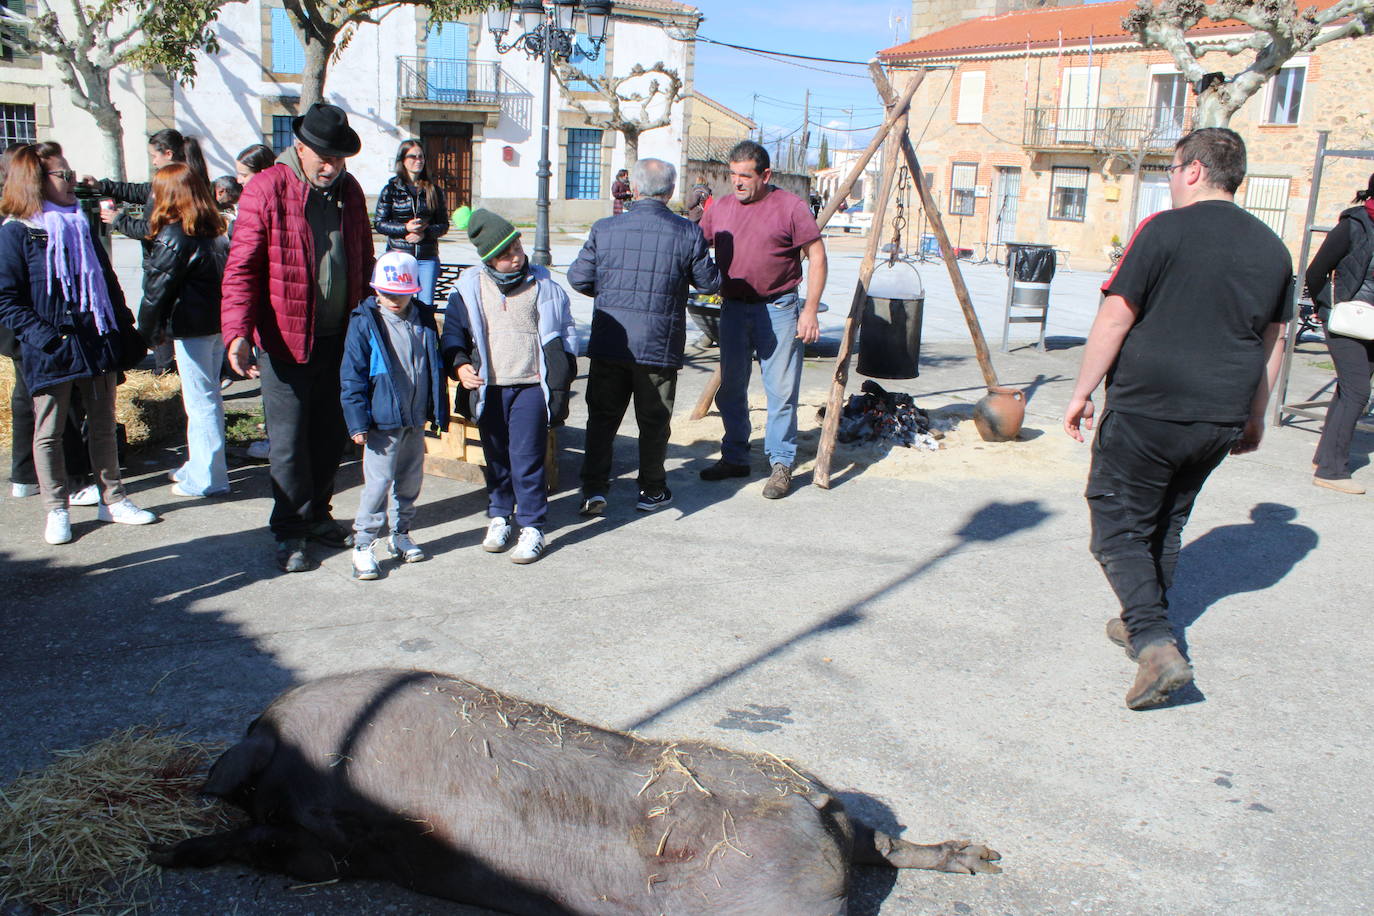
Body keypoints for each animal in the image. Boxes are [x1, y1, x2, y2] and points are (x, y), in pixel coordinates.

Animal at [155, 670, 1000, 911]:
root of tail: (814, 808)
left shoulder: (319, 849)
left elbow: (272, 847)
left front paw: (172, 853)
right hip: (837, 827)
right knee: (886, 841)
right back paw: (982, 859)